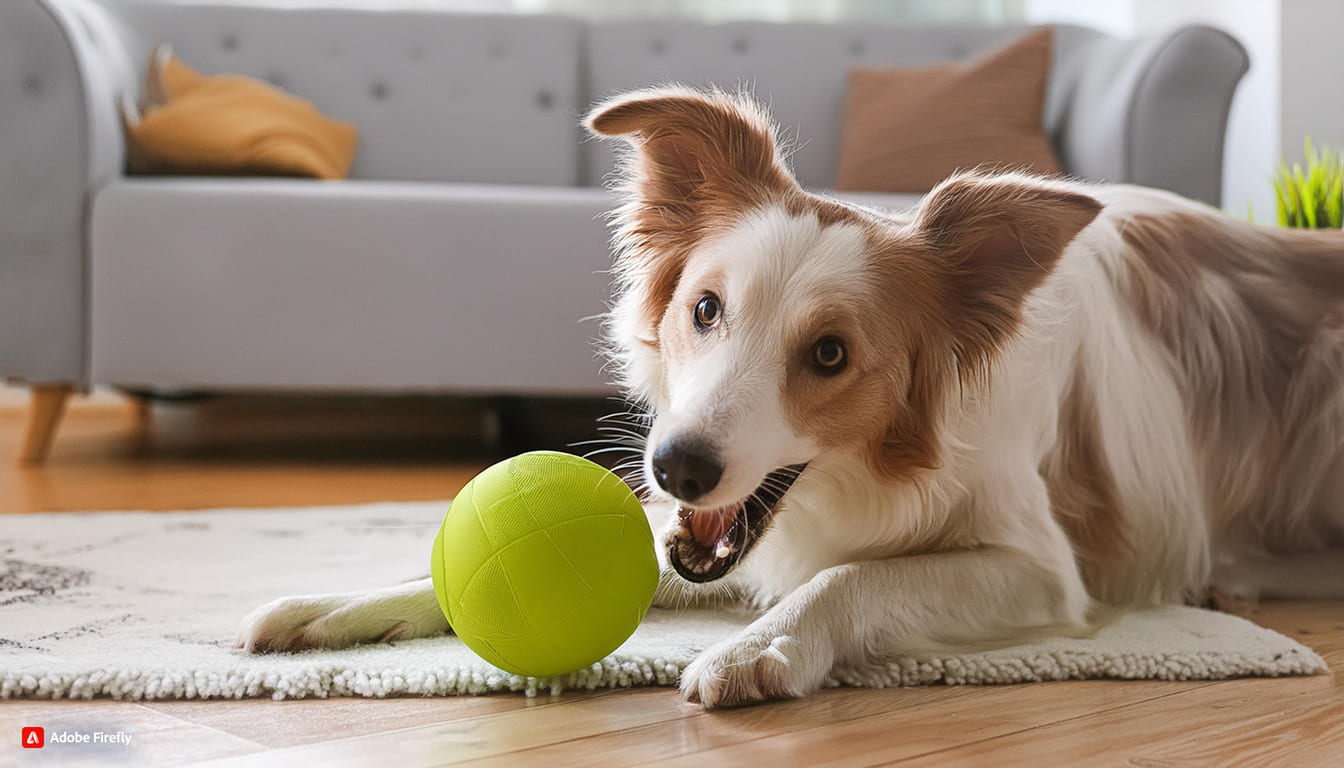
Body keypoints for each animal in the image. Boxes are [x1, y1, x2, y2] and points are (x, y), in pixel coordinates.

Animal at [239, 88, 1344, 710]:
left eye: (829, 354)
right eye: (704, 308)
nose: (675, 466)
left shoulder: (1042, 570)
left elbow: (854, 576)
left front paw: (765, 645)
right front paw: (341, 603)